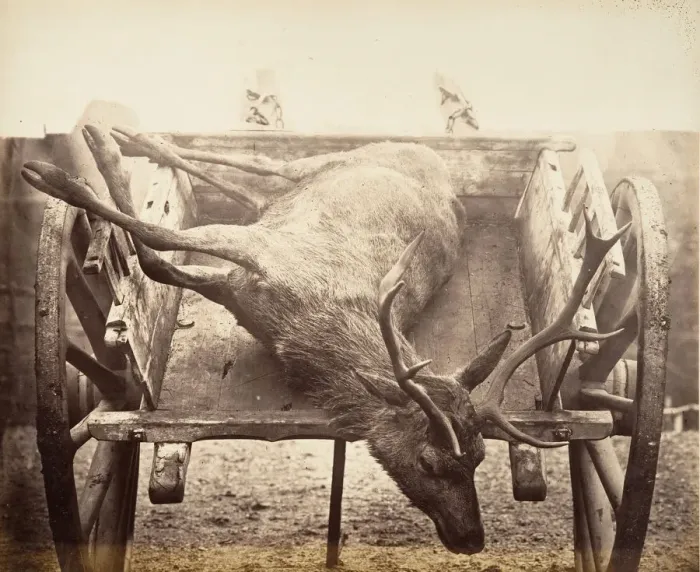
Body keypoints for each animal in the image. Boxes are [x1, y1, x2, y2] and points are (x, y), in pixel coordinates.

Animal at [21, 124, 628, 555]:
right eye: (431, 461)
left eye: (479, 458)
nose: (472, 539)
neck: (302, 326)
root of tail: (431, 153)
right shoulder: (257, 253)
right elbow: (156, 238)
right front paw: (61, 179)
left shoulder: (239, 279)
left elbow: (158, 257)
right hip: (324, 165)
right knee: (260, 163)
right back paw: (118, 141)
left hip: (293, 192)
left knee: (250, 189)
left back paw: (122, 142)